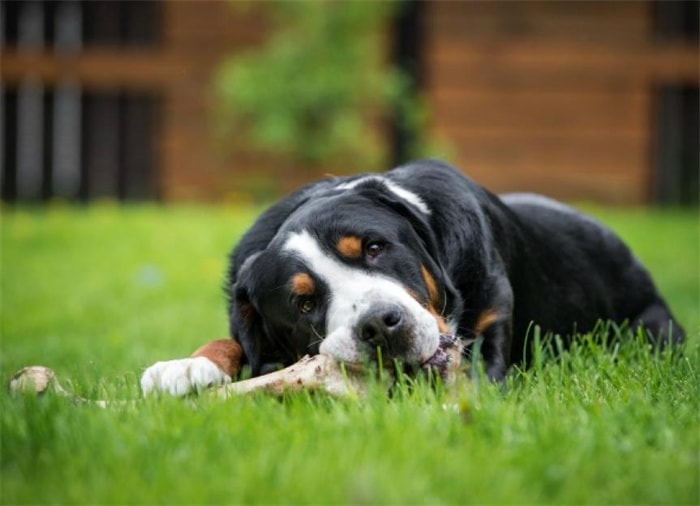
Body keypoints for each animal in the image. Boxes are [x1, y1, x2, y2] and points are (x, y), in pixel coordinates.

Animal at [141, 160, 684, 398]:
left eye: (375, 248)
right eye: (304, 304)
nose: (381, 325)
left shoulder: (488, 339)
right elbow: (231, 341)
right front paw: (186, 366)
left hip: (651, 330)